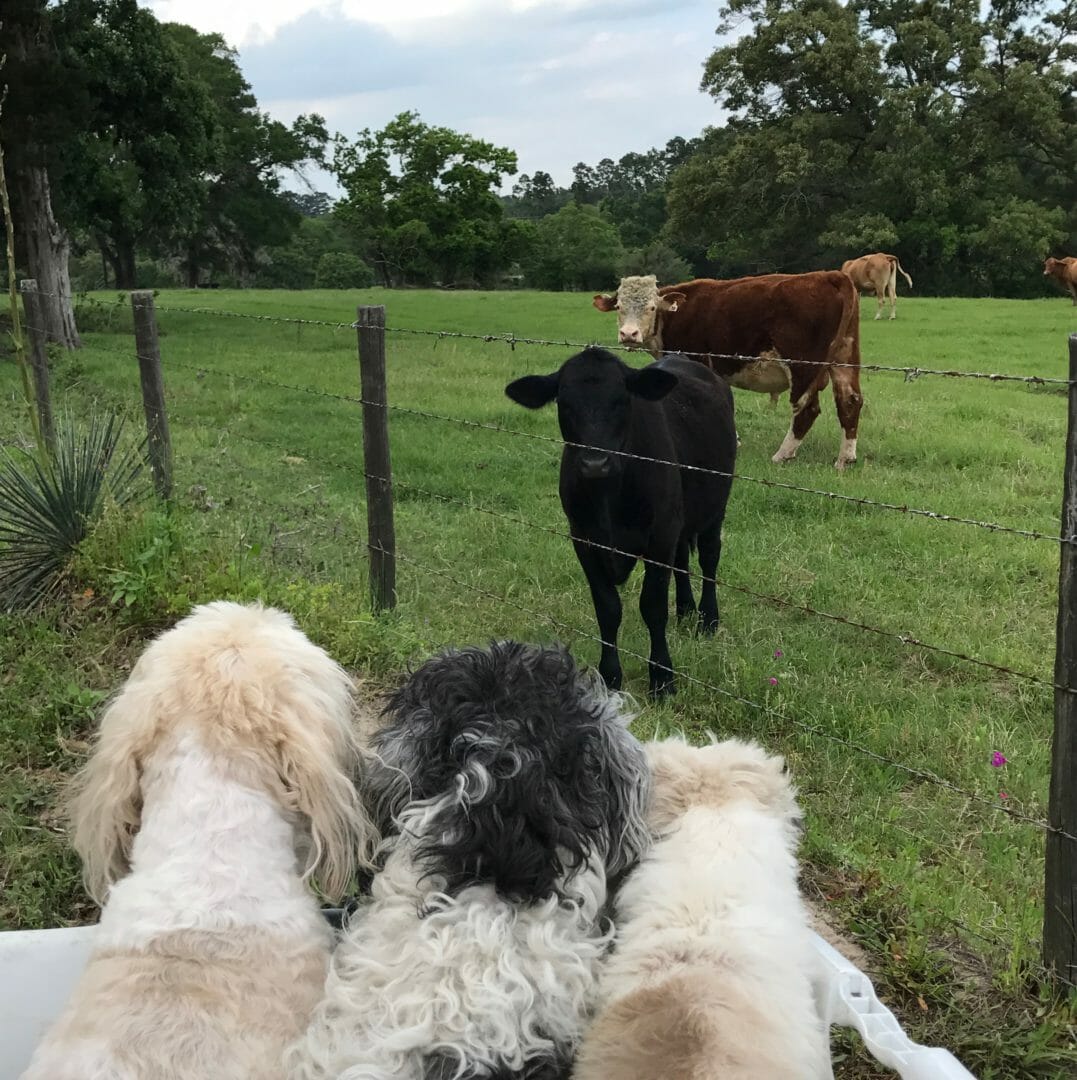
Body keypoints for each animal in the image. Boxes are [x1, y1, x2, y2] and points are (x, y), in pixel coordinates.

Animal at [591, 270, 859, 468]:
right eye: (619, 306)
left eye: (651, 308)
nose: (629, 334)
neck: (674, 316)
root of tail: (830, 275)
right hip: (845, 358)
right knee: (850, 400)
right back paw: (845, 459)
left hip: (804, 366)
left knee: (807, 408)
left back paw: (782, 455)